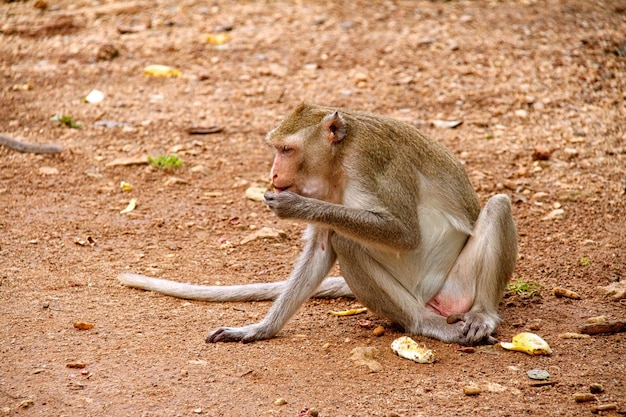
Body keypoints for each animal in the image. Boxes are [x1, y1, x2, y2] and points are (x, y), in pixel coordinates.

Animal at [118, 103, 516, 344]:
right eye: (276, 149)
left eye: (287, 150)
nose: (273, 174)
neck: (339, 160)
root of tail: (437, 301)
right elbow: (322, 249)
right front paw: (258, 329)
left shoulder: (371, 164)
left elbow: (404, 234)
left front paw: (297, 206)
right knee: (346, 241)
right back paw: (422, 322)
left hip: (459, 286)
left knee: (497, 207)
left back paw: (473, 316)